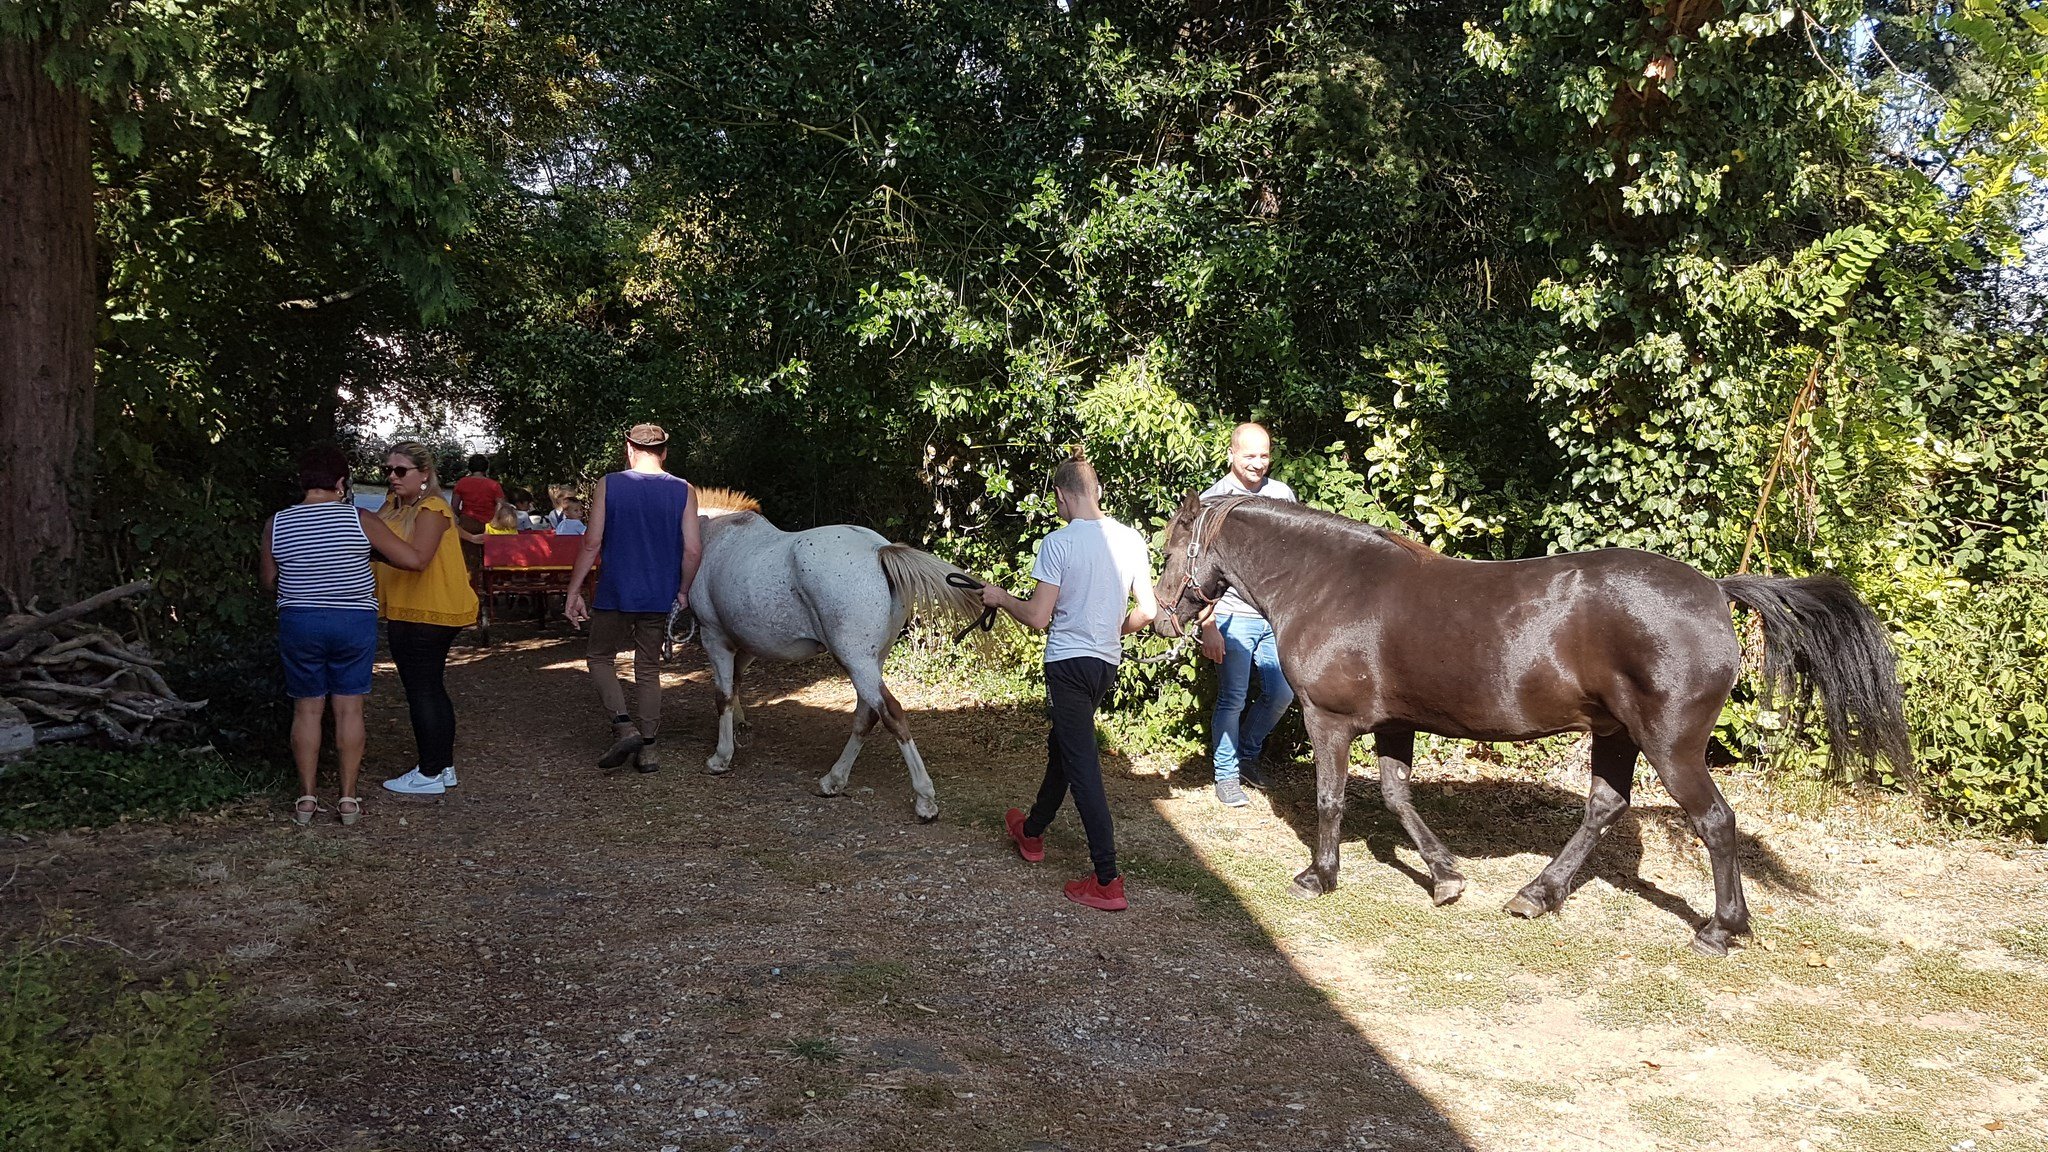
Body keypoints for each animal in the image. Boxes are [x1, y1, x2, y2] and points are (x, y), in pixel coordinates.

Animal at [688, 488, 986, 821]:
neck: (717, 532)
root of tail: (878, 550)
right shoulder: (744, 644)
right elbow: (736, 683)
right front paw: (740, 729)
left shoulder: (714, 637)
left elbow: (723, 696)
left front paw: (721, 757)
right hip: (871, 661)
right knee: (867, 715)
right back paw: (834, 779)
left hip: (855, 661)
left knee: (890, 712)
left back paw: (924, 799)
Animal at [1150, 493, 1911, 956]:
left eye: (1170, 548)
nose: (1160, 618)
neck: (1332, 582)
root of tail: (1715, 591)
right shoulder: (1396, 722)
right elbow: (1397, 795)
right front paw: (1445, 876)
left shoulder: (1330, 720)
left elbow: (1332, 799)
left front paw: (1319, 875)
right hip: (1616, 735)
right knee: (1604, 807)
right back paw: (1537, 895)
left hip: (1671, 745)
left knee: (1715, 823)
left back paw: (1721, 930)